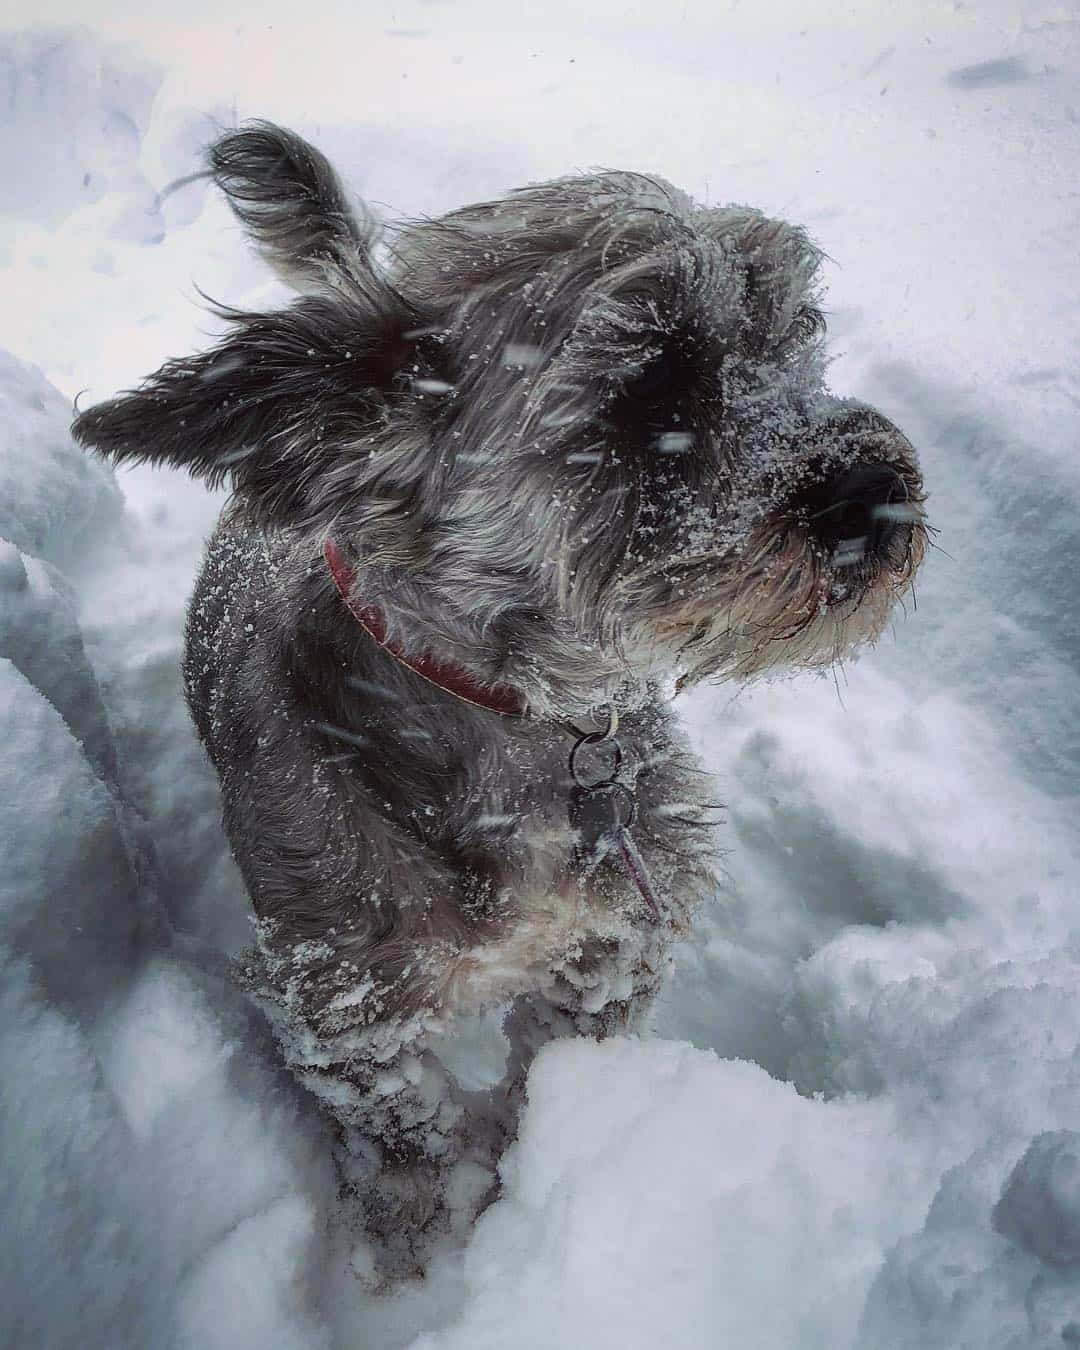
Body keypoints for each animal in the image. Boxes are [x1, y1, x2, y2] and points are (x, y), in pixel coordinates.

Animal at [71, 124, 923, 1274]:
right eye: (645, 389)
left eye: (792, 335)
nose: (882, 493)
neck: (515, 715)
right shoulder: (342, 1002)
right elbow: (403, 1128)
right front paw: (419, 1240)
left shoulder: (613, 941)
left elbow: (551, 1067)